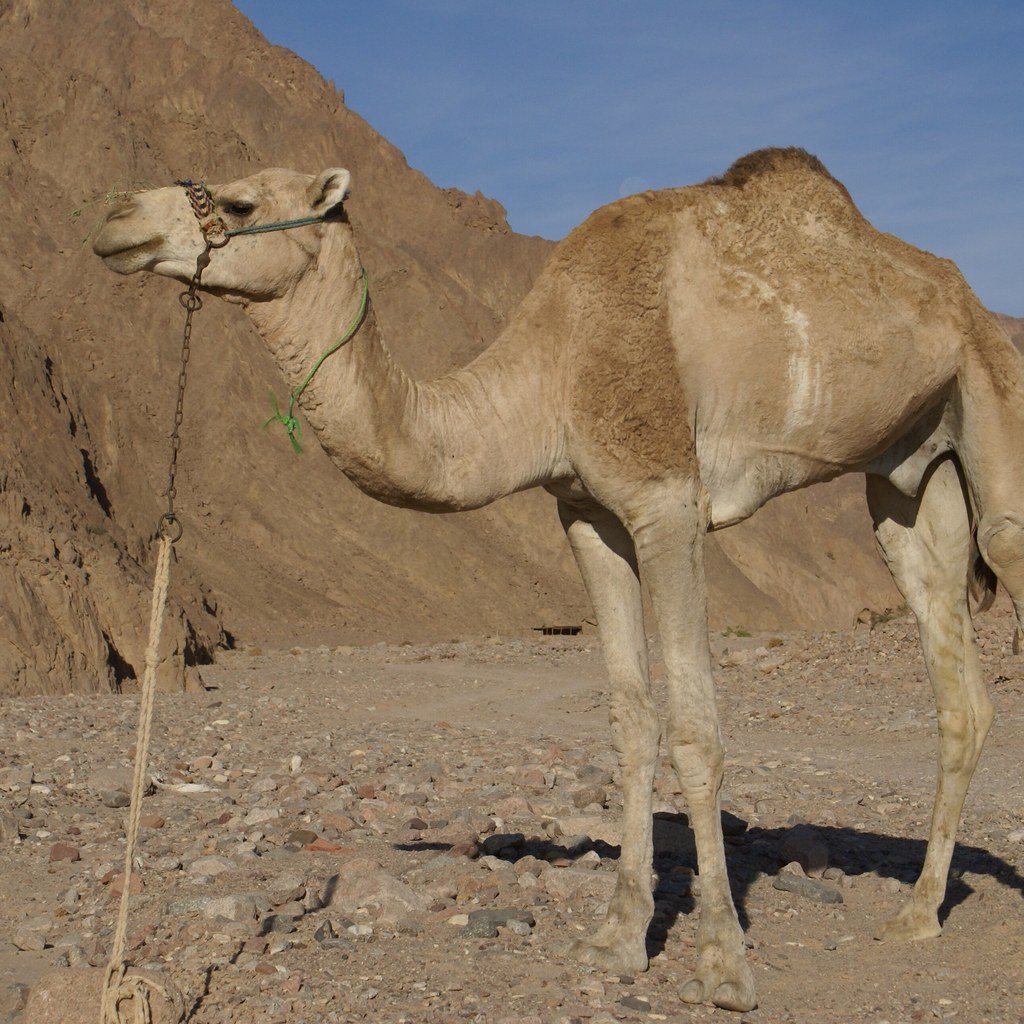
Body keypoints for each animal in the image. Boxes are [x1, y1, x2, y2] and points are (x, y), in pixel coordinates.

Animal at [91, 147, 1024, 1012]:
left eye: (240, 202)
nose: (116, 219)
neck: (552, 370)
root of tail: (975, 306)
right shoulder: (586, 513)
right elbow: (630, 719)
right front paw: (616, 938)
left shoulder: (667, 499)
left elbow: (695, 730)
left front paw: (724, 966)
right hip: (909, 473)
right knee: (956, 679)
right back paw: (917, 912)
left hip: (995, 404)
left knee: (1002, 556)